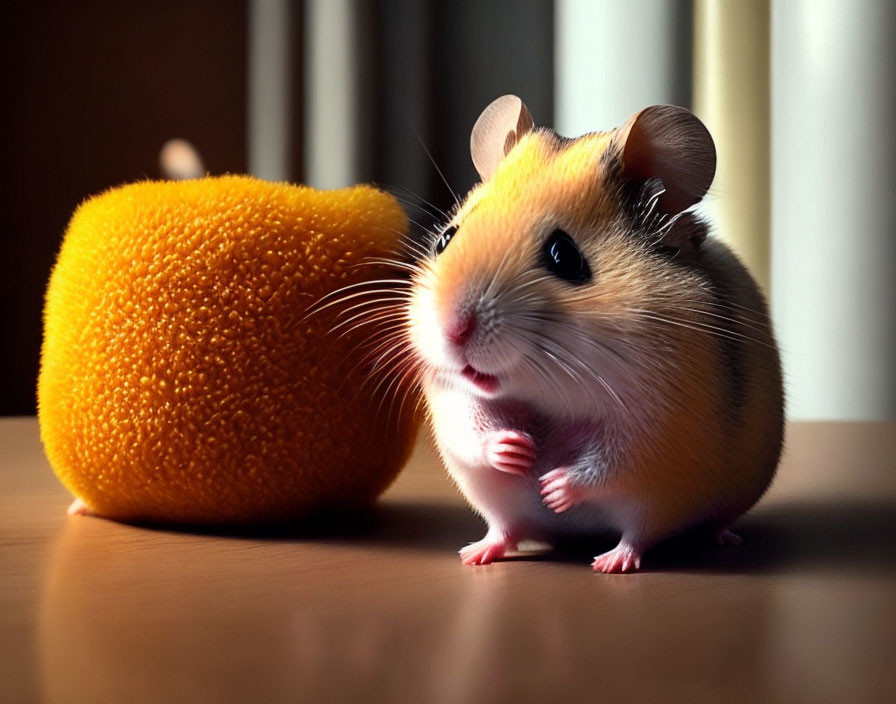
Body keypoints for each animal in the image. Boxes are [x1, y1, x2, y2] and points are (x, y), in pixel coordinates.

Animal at [402, 95, 780, 572]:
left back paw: (621, 560)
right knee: (505, 528)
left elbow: (606, 465)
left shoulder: (654, 430)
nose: (453, 329)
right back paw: (475, 554)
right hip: (496, 504)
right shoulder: (453, 397)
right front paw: (518, 453)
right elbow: (474, 431)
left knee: (639, 534)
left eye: (564, 256)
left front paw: (552, 486)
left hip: (659, 505)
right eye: (446, 239)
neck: (547, 398)